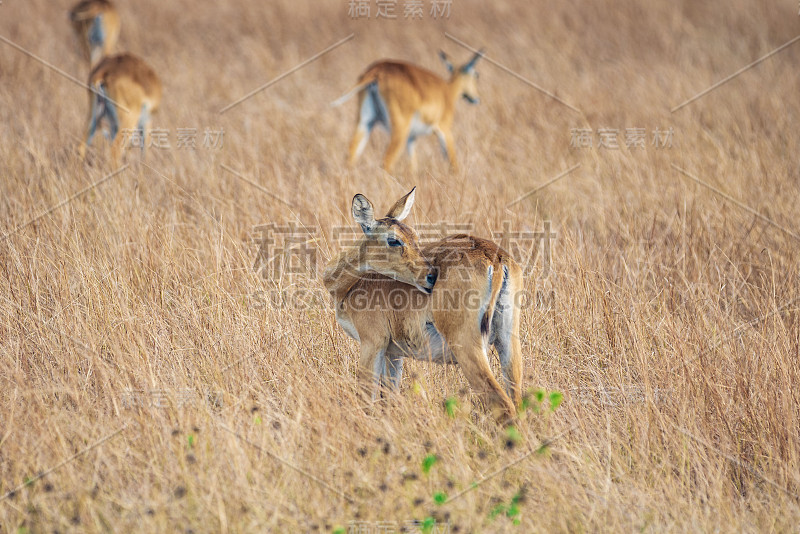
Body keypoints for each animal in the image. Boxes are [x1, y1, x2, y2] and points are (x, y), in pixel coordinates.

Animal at [324, 188, 524, 422]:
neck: (351, 286)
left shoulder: (372, 343)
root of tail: (495, 257)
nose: (430, 276)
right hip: (508, 342)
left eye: (413, 237)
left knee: (503, 404)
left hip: (467, 346)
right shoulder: (393, 353)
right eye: (395, 239)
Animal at [332, 50, 484, 174]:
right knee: (386, 161)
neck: (448, 91)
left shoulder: (412, 138)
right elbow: (453, 162)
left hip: (366, 122)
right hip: (400, 129)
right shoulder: (444, 129)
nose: (476, 98)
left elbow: (413, 165)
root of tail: (377, 71)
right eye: (476, 75)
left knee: (351, 155)